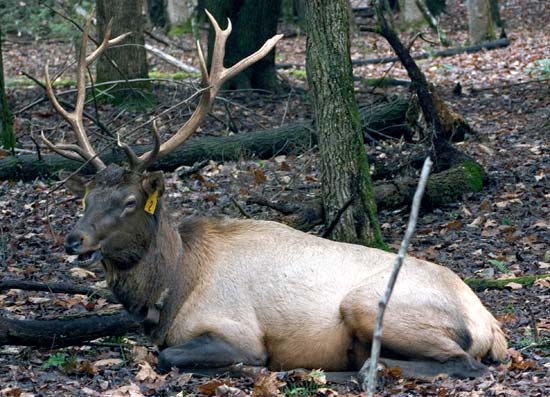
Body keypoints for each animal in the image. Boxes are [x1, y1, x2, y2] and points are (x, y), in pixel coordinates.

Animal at [44, 11, 508, 386]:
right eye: (86, 198)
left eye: (128, 201)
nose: (73, 239)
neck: (171, 288)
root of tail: (492, 326)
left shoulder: (237, 331)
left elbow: (167, 355)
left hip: (373, 305)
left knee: (464, 363)